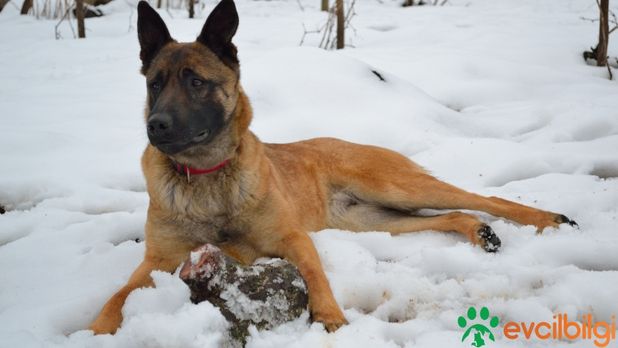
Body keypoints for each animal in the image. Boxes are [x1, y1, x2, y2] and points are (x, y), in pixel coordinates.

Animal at [89, 0, 576, 336]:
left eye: (195, 82)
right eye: (155, 84)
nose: (156, 126)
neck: (208, 178)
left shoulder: (293, 238)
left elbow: (315, 276)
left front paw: (331, 318)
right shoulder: (157, 262)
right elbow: (115, 298)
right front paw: (96, 331)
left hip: (397, 188)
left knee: (482, 197)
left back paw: (547, 219)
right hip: (375, 222)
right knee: (452, 215)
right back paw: (479, 231)